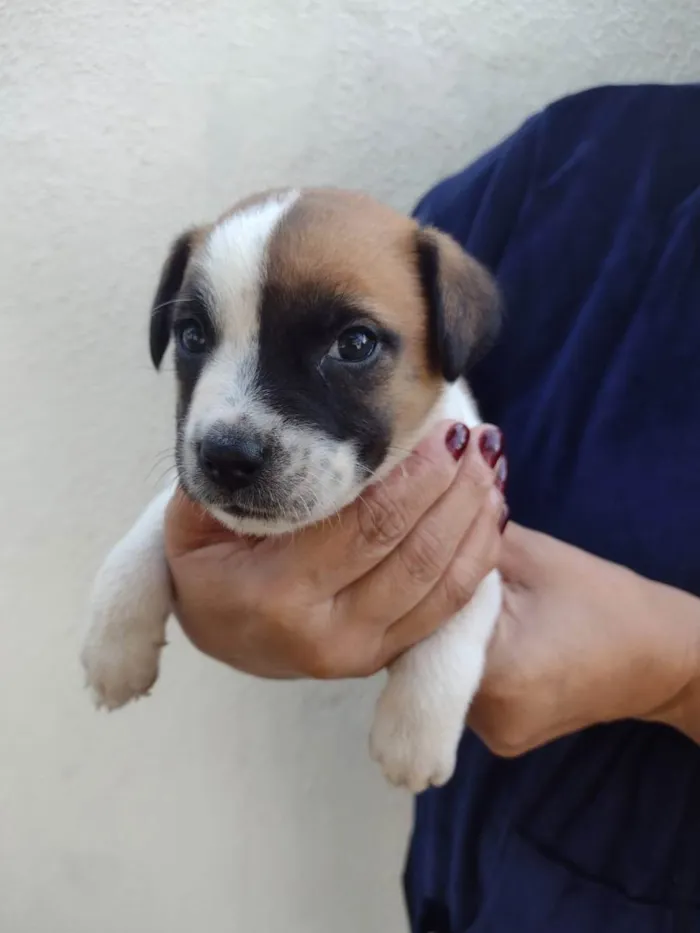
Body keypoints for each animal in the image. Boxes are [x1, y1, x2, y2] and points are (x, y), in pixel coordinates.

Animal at [80, 186, 504, 792]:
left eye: (355, 344)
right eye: (192, 336)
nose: (227, 458)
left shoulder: (482, 536)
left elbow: (460, 619)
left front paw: (413, 735)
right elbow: (143, 534)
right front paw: (114, 643)